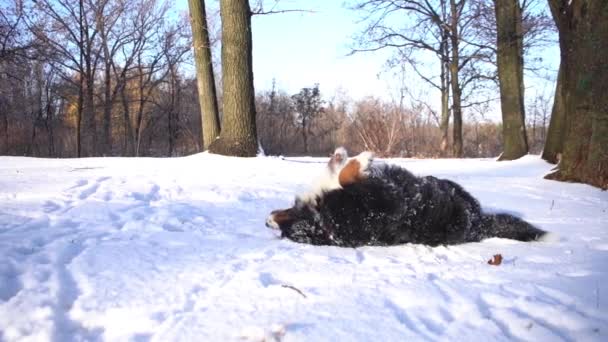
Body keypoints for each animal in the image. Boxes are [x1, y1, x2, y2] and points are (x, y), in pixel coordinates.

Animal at [266, 147, 548, 246]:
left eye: (285, 211)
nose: (267, 220)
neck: (322, 222)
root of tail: (479, 221)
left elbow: (339, 174)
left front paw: (340, 156)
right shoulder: (382, 197)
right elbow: (345, 175)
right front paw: (360, 158)